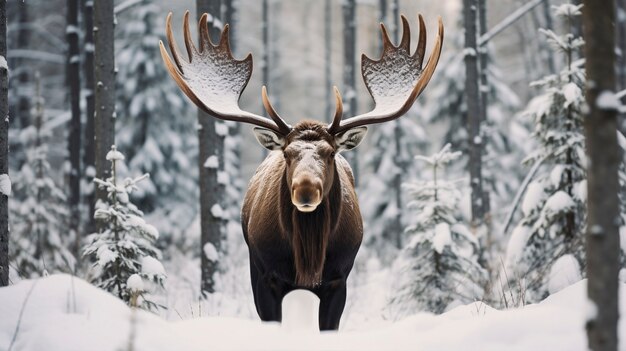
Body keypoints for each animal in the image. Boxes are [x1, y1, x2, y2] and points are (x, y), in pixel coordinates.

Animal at [161, 10, 444, 330]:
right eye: (287, 154)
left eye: (331, 153)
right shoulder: (264, 276)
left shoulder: (338, 279)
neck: (308, 256)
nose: (306, 190)